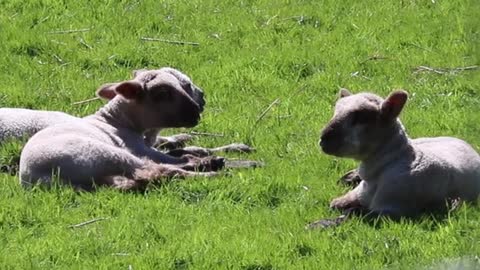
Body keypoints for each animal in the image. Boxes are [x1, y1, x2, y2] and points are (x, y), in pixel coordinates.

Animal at [18, 68, 225, 190]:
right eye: (163, 93)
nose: (197, 111)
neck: (117, 120)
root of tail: (39, 177)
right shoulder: (138, 148)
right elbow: (170, 159)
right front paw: (200, 159)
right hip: (105, 154)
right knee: (158, 170)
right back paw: (211, 169)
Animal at [318, 88, 480, 219]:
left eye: (361, 117)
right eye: (336, 111)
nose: (323, 138)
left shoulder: (389, 210)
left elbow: (351, 213)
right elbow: (334, 204)